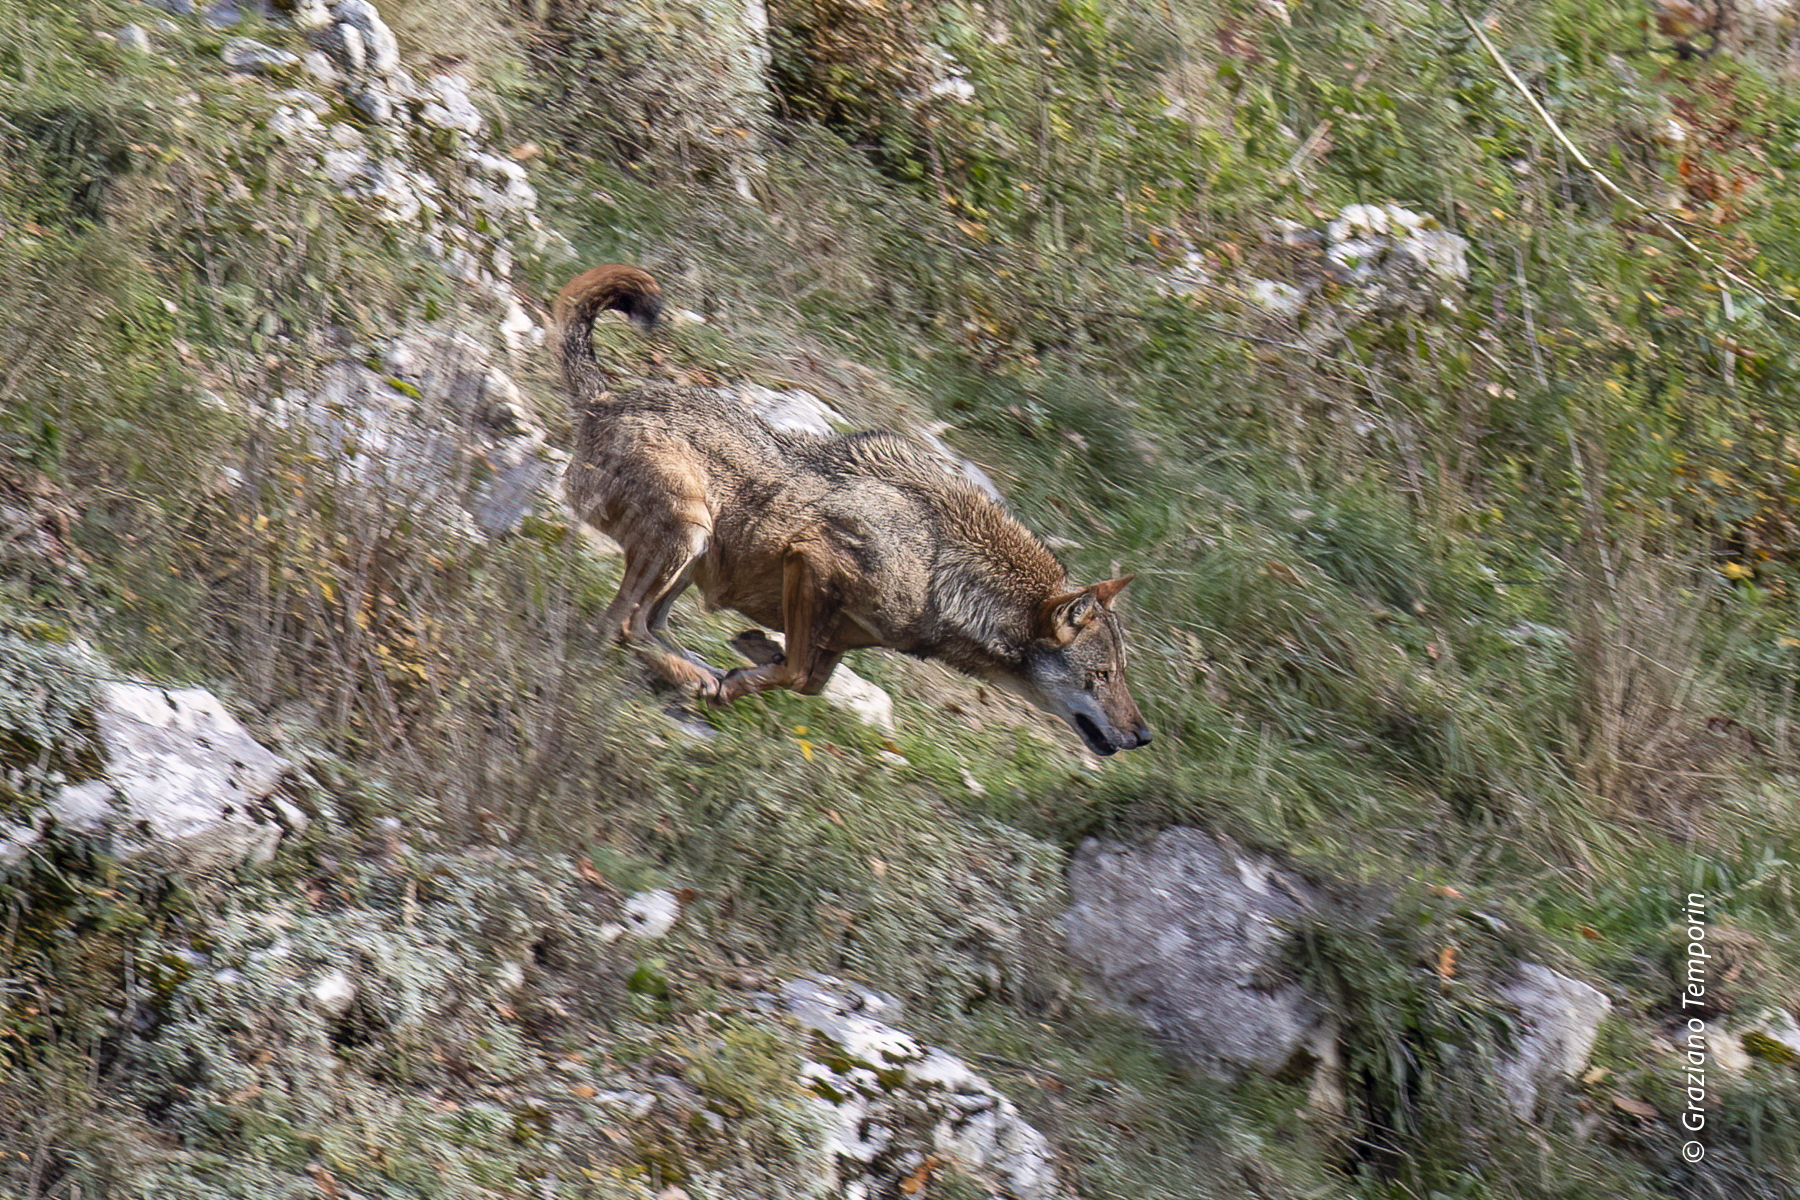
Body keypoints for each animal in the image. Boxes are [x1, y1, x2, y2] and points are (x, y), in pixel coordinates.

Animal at [555, 264, 1152, 756]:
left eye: (1120, 673)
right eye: (1100, 675)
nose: (1144, 736)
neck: (945, 570)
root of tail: (605, 399)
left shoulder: (841, 634)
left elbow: (810, 681)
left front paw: (751, 654)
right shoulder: (813, 560)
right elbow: (798, 673)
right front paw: (738, 678)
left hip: (694, 556)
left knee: (645, 623)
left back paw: (691, 668)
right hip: (691, 529)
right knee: (624, 624)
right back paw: (689, 674)